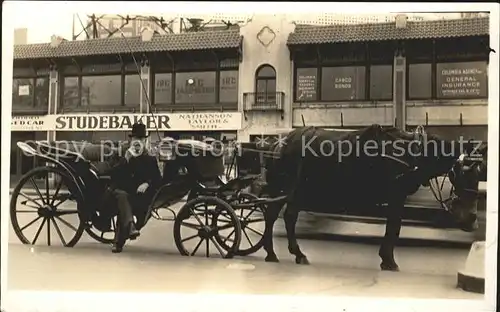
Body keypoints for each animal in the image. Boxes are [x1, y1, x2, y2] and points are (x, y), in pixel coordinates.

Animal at [254, 124, 484, 270]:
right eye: (465, 174)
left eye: (478, 174)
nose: (472, 217)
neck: (412, 152)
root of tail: (279, 143)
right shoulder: (396, 195)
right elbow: (394, 226)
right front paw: (388, 260)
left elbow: (394, 226)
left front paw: (386, 258)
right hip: (288, 189)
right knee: (280, 216)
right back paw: (284, 252)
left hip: (291, 191)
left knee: (282, 216)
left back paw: (282, 253)